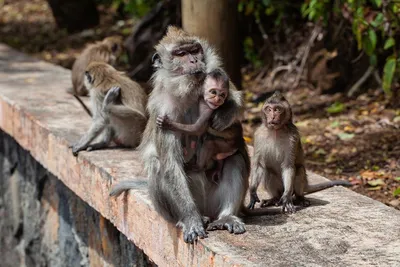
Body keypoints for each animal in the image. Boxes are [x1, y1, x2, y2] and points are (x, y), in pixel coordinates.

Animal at [108, 25, 280, 245]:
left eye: (194, 50)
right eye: (181, 54)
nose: (194, 61)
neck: (188, 91)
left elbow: (236, 100)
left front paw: (224, 114)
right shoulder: (162, 109)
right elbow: (171, 164)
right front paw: (191, 219)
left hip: (215, 199)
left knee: (235, 157)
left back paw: (227, 216)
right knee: (158, 165)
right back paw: (189, 218)